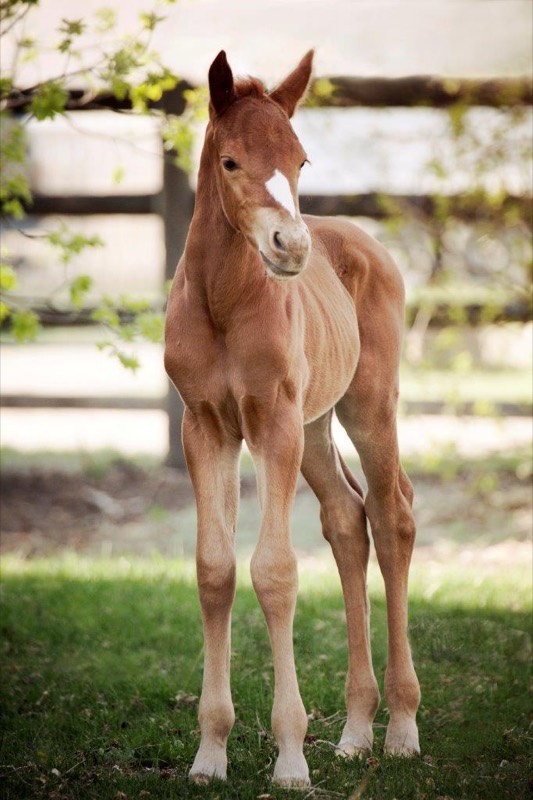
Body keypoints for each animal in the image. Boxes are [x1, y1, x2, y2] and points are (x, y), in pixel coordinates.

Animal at [164, 49, 421, 788]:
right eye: (231, 162)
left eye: (300, 160)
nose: (291, 247)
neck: (222, 302)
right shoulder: (207, 427)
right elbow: (215, 571)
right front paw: (210, 755)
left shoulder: (271, 423)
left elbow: (274, 573)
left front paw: (288, 760)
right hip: (313, 427)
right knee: (346, 519)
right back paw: (355, 733)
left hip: (367, 405)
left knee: (391, 515)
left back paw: (401, 728)